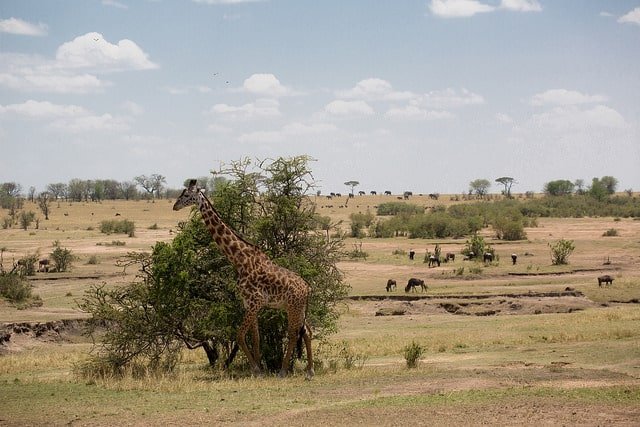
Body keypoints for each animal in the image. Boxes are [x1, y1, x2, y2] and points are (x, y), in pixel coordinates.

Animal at [172, 179, 316, 380]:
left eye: (186, 194)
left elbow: (240, 335)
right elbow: (255, 337)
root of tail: (308, 288)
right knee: (307, 332)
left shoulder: (256, 301)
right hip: (297, 307)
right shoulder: (249, 303)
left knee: (294, 334)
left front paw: (256, 368)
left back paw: (283, 370)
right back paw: (310, 370)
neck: (239, 260)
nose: (175, 206)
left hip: (293, 308)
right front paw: (259, 369)